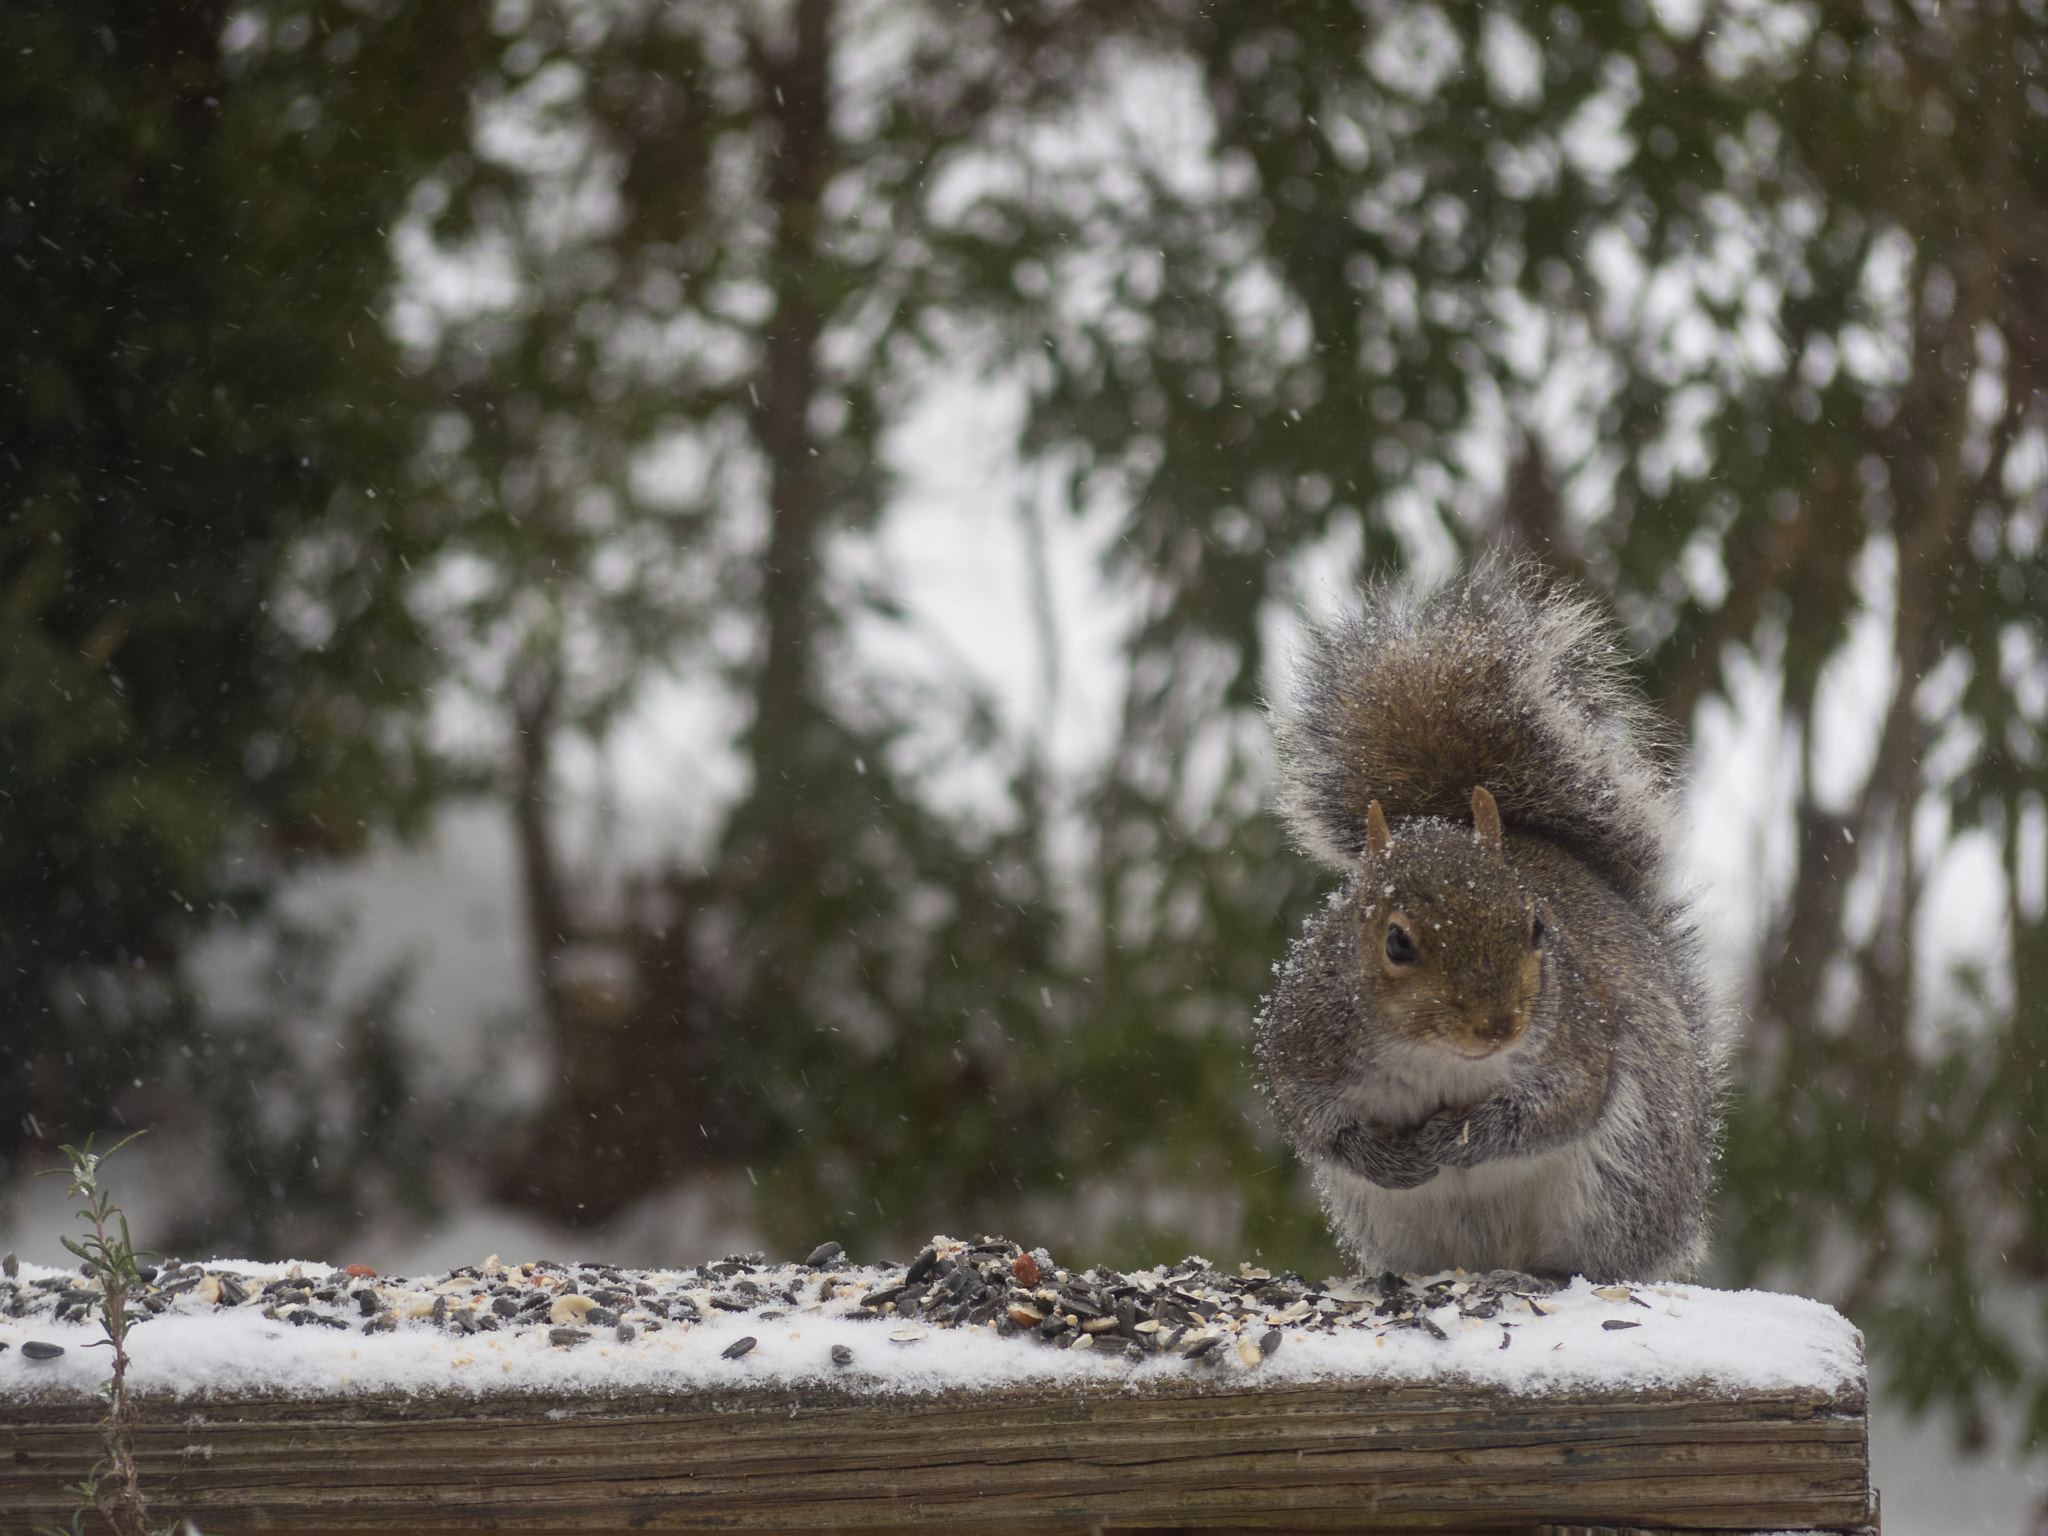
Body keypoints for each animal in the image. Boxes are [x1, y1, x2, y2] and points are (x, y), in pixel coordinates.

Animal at [1253, 565, 1720, 1286]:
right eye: (1396, 942)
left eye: (1537, 927)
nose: (1498, 1027)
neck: (1433, 1058)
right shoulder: (1305, 1047)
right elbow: (1317, 1126)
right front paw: (1389, 1159)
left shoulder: (1577, 1045)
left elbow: (1558, 1109)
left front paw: (1461, 1140)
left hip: (1621, 1186)